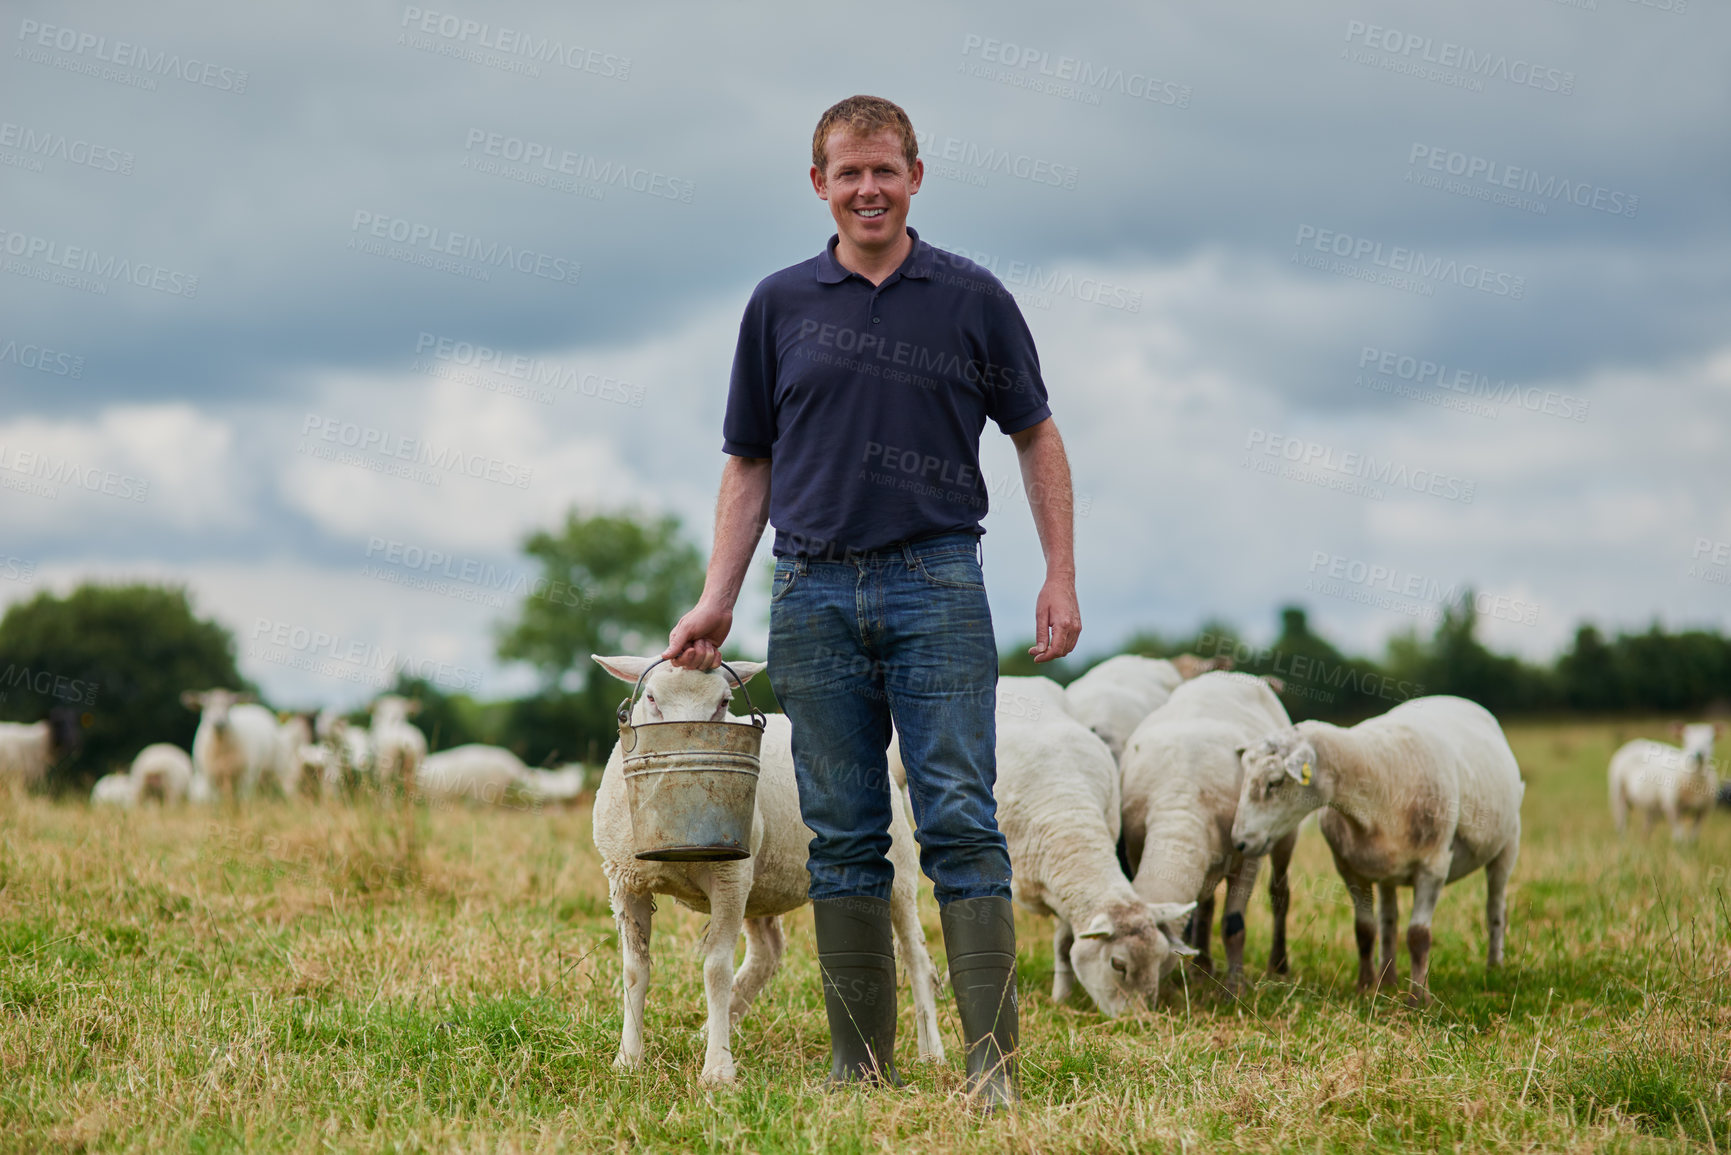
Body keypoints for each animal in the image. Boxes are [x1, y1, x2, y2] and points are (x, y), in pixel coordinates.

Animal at [595, 654, 948, 1087]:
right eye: (651, 698)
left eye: (725, 702)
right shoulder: (625, 880)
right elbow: (634, 970)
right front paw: (627, 1060)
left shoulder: (729, 877)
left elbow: (715, 970)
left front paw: (718, 1070)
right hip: (762, 884)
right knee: (767, 954)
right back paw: (711, 1027)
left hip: (898, 871)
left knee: (917, 960)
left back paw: (932, 1053)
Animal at [997, 682, 1197, 1018]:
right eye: (1118, 964)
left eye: (1159, 960)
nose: (1140, 1020)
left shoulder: (1065, 893)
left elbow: (1065, 943)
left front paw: (1061, 997)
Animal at [1114, 668, 1294, 997]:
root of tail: (1230, 672)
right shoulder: (1134, 848)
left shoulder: (1249, 854)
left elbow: (1234, 925)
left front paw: (1235, 989)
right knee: (1206, 905)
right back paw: (1203, 968)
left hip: (1283, 833)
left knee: (1280, 893)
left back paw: (1278, 965)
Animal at [1225, 696, 1523, 1004]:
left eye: (1274, 782)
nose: (1240, 842)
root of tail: (1455, 699)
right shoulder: (1350, 869)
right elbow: (1365, 930)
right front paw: (1365, 987)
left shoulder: (1434, 866)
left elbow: (1418, 936)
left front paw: (1419, 999)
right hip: (1384, 867)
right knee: (1389, 920)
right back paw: (1387, 979)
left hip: (1508, 842)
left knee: (1495, 908)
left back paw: (1494, 969)